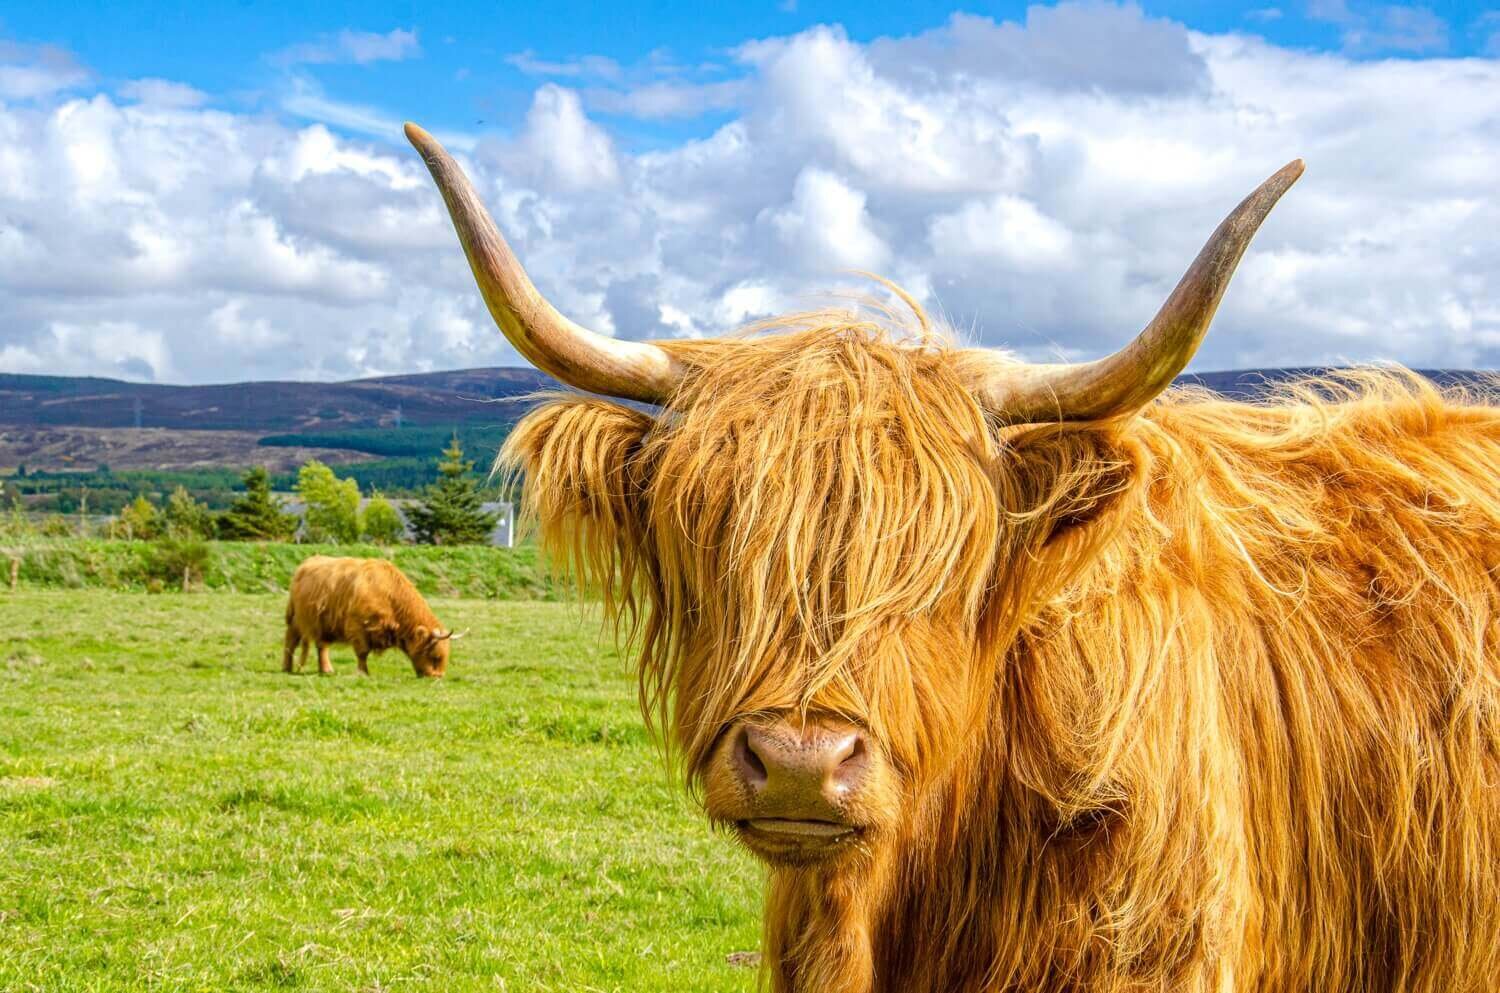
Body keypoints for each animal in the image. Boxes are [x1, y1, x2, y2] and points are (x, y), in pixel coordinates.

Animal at [282, 555, 456, 681]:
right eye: (435, 656)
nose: (437, 677)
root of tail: (306, 563)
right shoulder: (358, 627)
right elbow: (362, 653)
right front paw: (363, 673)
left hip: (323, 623)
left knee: (322, 646)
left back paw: (326, 670)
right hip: (296, 619)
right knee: (291, 641)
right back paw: (286, 668)